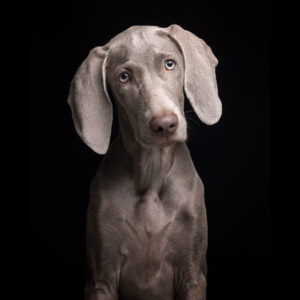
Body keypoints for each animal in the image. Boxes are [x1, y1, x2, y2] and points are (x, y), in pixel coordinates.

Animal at [68, 24, 223, 300]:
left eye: (170, 64)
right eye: (124, 77)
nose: (165, 124)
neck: (150, 176)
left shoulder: (192, 274)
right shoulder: (101, 278)